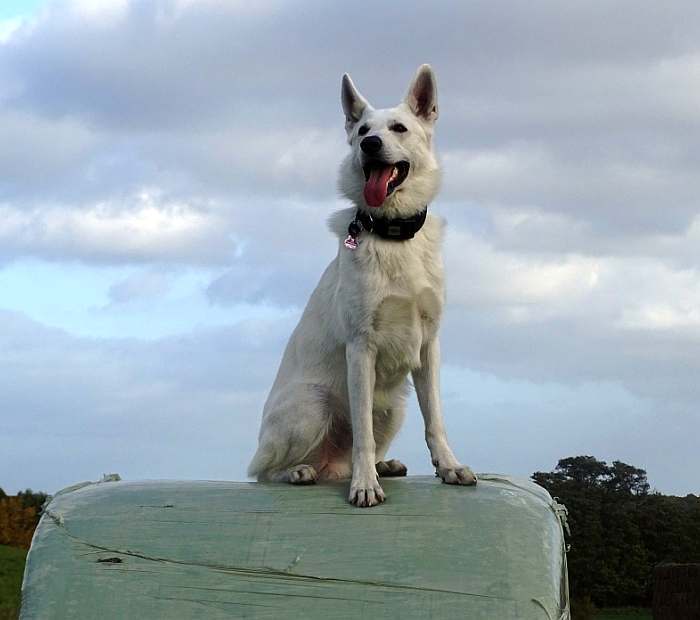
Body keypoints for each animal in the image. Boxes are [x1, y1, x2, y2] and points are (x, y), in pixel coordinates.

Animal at [249, 65, 478, 506]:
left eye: (398, 128)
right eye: (361, 131)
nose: (371, 144)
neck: (394, 234)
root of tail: (327, 463)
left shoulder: (429, 345)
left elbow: (435, 419)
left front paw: (449, 466)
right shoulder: (361, 347)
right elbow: (363, 437)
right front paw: (365, 484)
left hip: (393, 407)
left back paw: (380, 466)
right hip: (314, 403)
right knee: (263, 473)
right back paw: (302, 471)